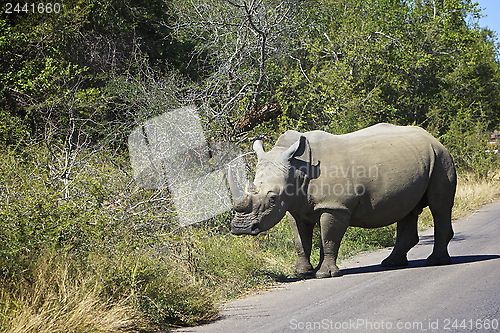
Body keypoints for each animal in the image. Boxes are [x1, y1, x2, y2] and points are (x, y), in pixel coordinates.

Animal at [230, 123, 458, 276]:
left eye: (272, 199)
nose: (240, 228)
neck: (297, 168)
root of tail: (433, 137)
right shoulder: (295, 206)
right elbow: (300, 240)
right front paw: (302, 273)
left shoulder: (335, 206)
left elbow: (328, 238)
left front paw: (324, 274)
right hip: (419, 159)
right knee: (407, 209)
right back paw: (392, 263)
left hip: (441, 157)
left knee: (439, 206)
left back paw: (435, 262)